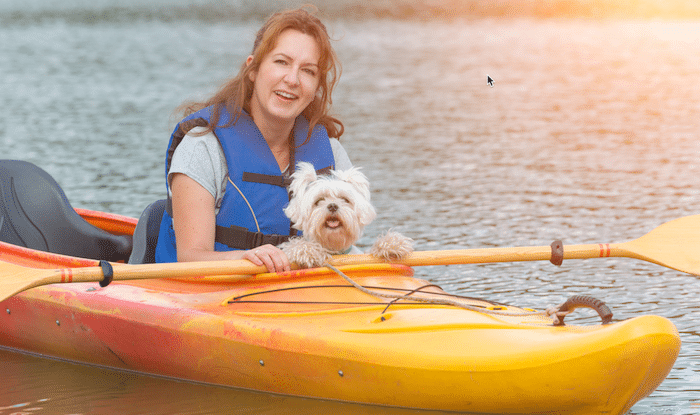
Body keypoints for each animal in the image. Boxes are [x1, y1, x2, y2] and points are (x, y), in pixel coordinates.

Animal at [278, 161, 410, 268]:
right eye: (319, 200)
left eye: (345, 199)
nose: (332, 206)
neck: (336, 251)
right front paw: (306, 251)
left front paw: (391, 244)